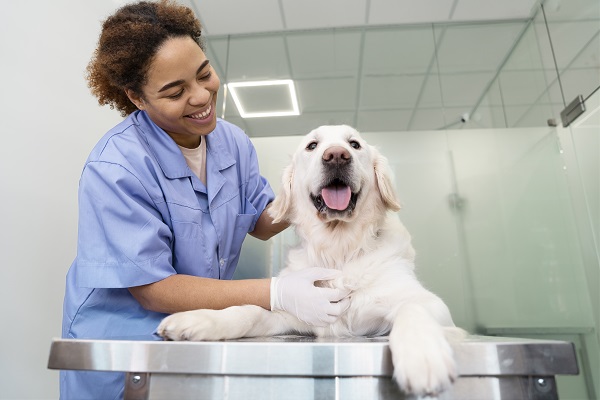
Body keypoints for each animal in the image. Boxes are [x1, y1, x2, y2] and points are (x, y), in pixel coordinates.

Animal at [158, 126, 464, 396]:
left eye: (354, 144)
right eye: (312, 146)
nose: (337, 156)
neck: (339, 250)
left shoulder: (430, 304)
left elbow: (412, 307)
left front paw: (422, 356)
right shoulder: (295, 314)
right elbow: (250, 311)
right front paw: (199, 319)